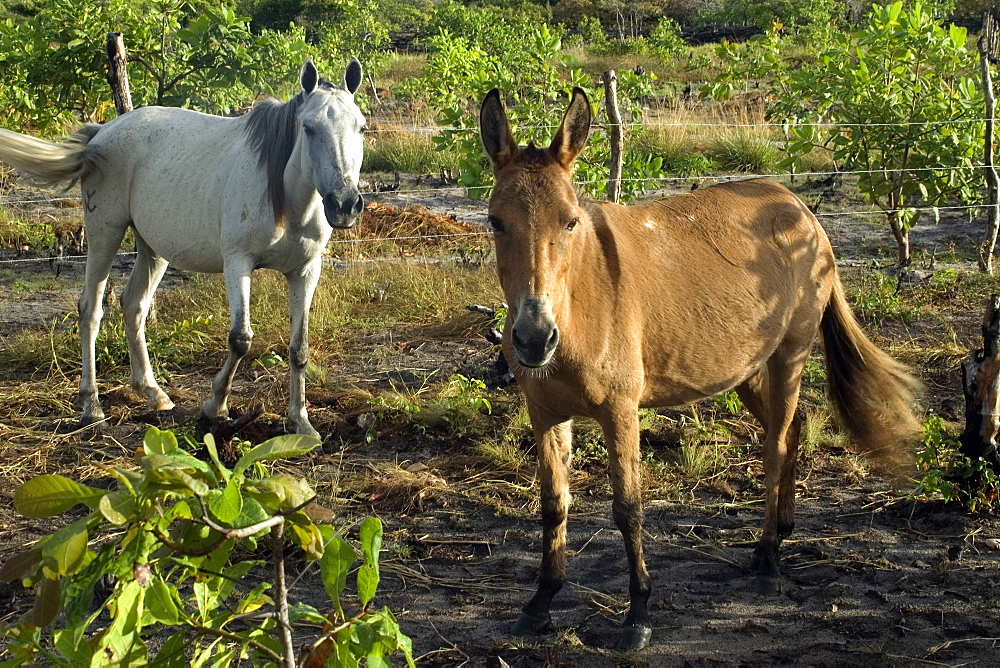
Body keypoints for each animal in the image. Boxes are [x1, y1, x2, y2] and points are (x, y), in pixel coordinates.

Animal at [0, 58, 366, 438]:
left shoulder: (305, 271)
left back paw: (153, 393)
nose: (344, 204)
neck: (286, 200)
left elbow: (299, 348)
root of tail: (101, 133)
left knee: (134, 304)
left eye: (362, 128)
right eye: (308, 128)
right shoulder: (238, 264)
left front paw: (301, 422)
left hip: (153, 247)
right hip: (104, 232)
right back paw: (92, 406)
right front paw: (214, 407)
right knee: (90, 310)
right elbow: (241, 339)